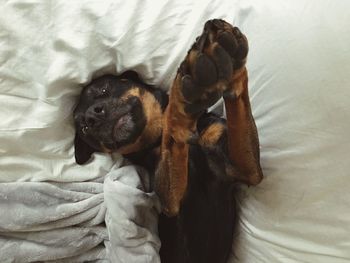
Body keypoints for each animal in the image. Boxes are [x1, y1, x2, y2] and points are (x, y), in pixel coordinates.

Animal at [73, 19, 262, 262]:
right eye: (84, 128)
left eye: (104, 89)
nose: (91, 117)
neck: (155, 139)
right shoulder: (170, 202)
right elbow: (173, 127)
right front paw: (183, 99)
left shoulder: (247, 169)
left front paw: (231, 62)